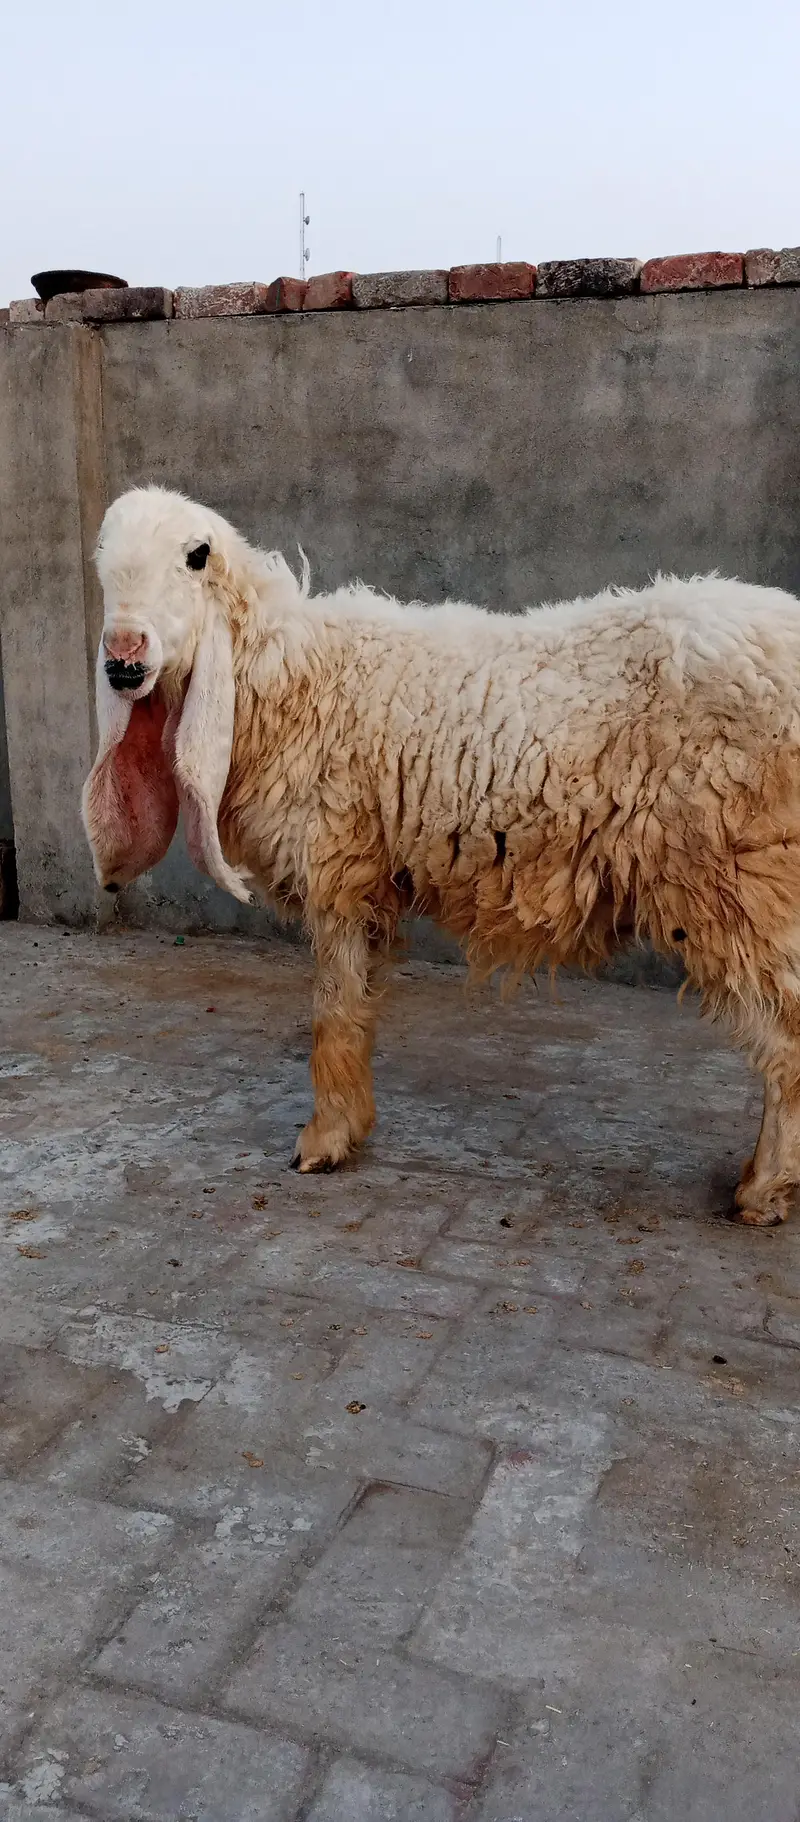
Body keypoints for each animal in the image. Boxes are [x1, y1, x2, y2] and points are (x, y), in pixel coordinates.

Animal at [82, 485, 800, 1226]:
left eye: (195, 557)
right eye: (102, 561)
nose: (123, 660)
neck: (293, 675)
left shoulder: (338, 860)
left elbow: (332, 1009)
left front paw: (324, 1139)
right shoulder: (370, 873)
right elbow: (356, 1004)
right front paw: (350, 1124)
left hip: (741, 876)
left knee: (786, 1037)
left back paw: (764, 1189)